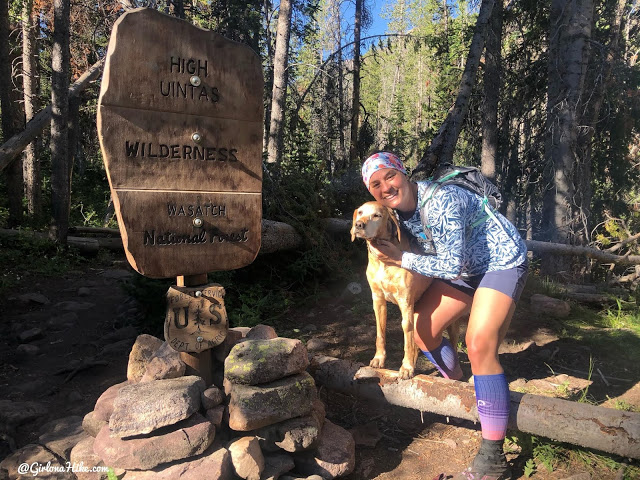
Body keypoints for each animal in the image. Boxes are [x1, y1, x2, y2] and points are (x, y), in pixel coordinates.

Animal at [350, 202, 460, 378]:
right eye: (360, 212)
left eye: (377, 215)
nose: (359, 225)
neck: (383, 263)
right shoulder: (378, 300)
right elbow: (380, 333)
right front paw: (379, 358)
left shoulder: (405, 303)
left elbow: (407, 339)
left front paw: (407, 367)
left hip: (450, 322)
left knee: (453, 343)